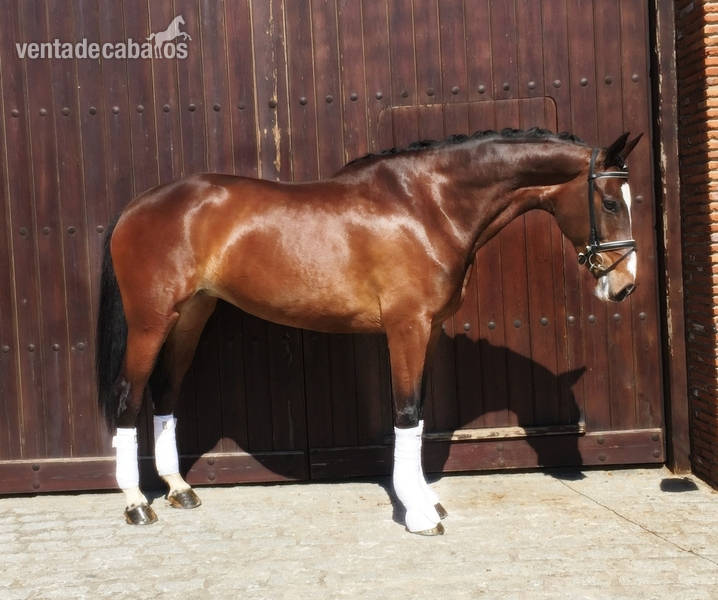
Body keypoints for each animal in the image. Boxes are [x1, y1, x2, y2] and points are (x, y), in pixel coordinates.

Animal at [96, 127, 641, 535]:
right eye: (610, 202)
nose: (625, 285)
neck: (429, 205)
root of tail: (137, 205)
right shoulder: (406, 328)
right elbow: (405, 413)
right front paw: (418, 514)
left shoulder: (430, 331)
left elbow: (419, 416)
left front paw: (426, 500)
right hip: (152, 321)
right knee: (129, 395)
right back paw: (136, 502)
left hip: (192, 316)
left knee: (165, 392)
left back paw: (179, 489)